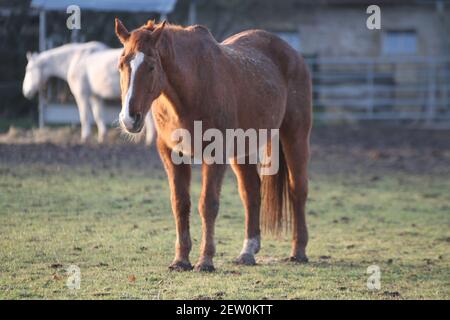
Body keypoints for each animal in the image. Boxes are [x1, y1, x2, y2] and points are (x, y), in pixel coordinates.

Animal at [23, 42, 156, 144]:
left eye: (29, 69)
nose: (25, 91)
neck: (75, 60)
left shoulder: (81, 95)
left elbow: (85, 116)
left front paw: (85, 138)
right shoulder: (95, 96)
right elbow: (98, 115)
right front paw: (102, 137)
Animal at [114, 18, 312, 272]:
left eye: (150, 66)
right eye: (121, 65)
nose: (129, 118)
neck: (192, 90)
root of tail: (293, 54)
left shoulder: (215, 153)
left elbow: (208, 204)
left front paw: (205, 260)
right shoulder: (172, 154)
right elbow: (180, 204)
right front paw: (181, 260)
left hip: (294, 135)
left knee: (298, 189)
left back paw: (298, 251)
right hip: (242, 149)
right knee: (251, 192)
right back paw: (247, 252)